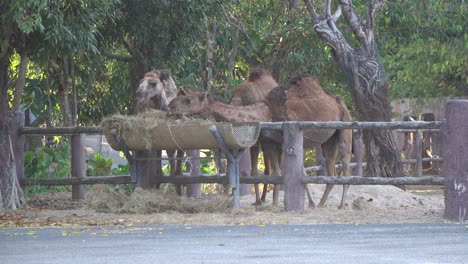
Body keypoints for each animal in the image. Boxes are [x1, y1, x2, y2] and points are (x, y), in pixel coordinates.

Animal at [167, 72, 352, 208]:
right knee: (331, 171)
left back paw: (341, 205)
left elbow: (278, 172)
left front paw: (275, 203)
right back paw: (321, 204)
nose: (170, 106)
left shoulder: (279, 141)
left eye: (188, 99)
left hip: (345, 127)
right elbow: (274, 172)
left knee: (345, 164)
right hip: (329, 140)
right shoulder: (268, 142)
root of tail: (339, 102)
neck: (264, 112)